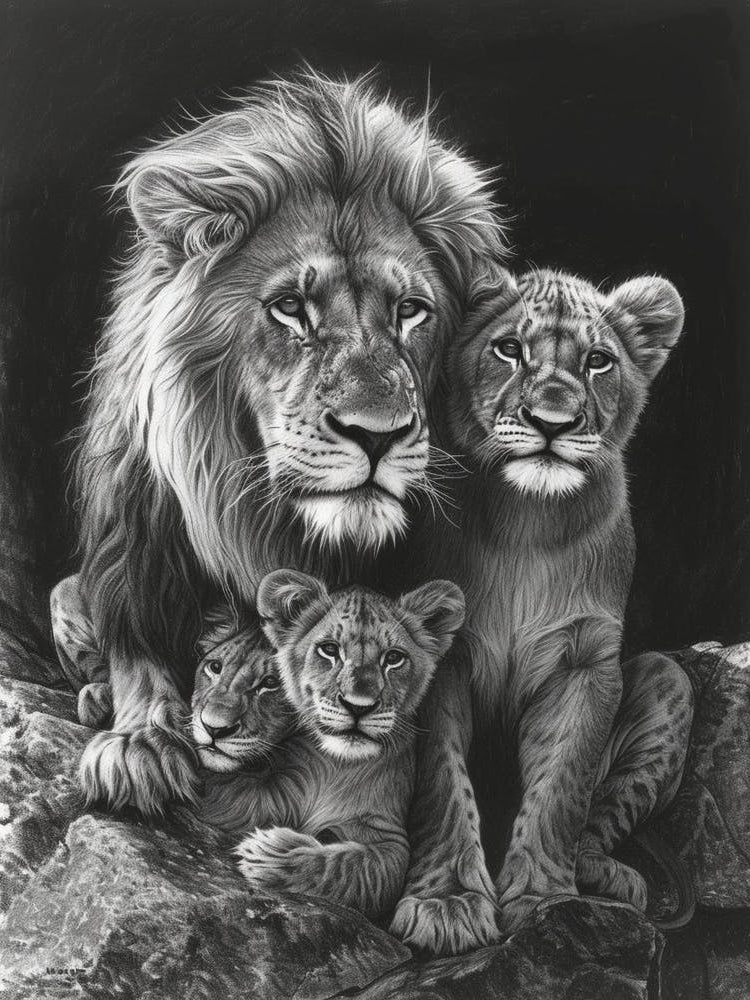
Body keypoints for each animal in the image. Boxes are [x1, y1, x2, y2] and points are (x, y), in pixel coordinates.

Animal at [70, 69, 504, 845]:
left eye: (410, 311)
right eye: (291, 308)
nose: (378, 433)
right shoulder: (136, 559)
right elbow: (137, 653)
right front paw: (141, 744)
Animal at [389, 265, 693, 946]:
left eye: (598, 361)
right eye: (509, 349)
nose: (553, 421)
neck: (527, 522)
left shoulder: (585, 664)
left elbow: (562, 789)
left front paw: (547, 902)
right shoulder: (437, 656)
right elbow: (442, 782)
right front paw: (447, 902)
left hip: (669, 677)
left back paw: (608, 878)